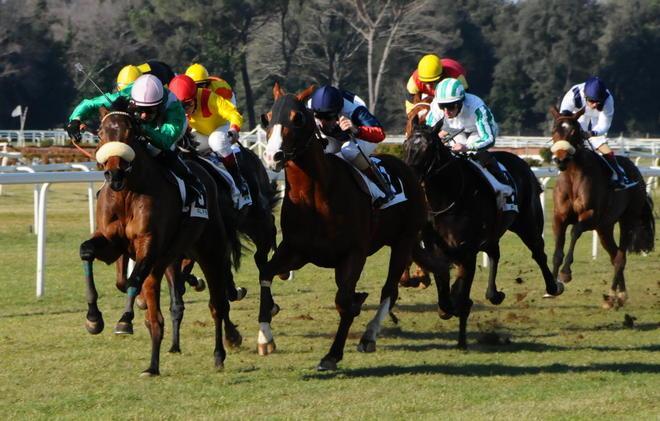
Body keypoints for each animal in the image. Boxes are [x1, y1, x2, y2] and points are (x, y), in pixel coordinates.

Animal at [79, 99, 235, 376]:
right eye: (101, 133)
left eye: (131, 134)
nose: (114, 175)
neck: (127, 193)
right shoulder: (110, 242)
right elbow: (87, 252)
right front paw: (93, 318)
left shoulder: (149, 245)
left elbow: (132, 281)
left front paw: (124, 320)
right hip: (164, 264)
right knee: (157, 319)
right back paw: (152, 365)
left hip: (210, 251)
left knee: (218, 305)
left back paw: (219, 352)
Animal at [258, 82, 427, 371]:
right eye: (268, 118)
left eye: (297, 118)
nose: (272, 156)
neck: (315, 196)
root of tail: (405, 167)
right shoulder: (295, 251)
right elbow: (266, 273)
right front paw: (265, 337)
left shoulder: (354, 254)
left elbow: (343, 302)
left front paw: (332, 355)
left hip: (403, 241)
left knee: (389, 289)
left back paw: (369, 335)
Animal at [403, 114, 564, 348]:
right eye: (406, 145)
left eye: (427, 147)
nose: (409, 179)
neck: (447, 198)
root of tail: (520, 161)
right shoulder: (438, 250)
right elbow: (445, 297)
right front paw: (451, 303)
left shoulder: (468, 251)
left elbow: (461, 295)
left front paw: (462, 333)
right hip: (492, 233)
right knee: (495, 253)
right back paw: (494, 294)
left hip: (528, 223)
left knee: (538, 253)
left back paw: (553, 286)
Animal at [549, 106, 655, 308]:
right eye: (554, 130)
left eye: (573, 132)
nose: (560, 160)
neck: (573, 177)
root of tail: (637, 173)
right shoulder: (559, 217)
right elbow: (557, 249)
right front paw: (552, 287)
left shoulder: (591, 216)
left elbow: (575, 231)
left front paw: (565, 273)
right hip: (605, 228)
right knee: (614, 255)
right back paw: (618, 295)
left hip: (627, 221)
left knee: (620, 257)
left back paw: (614, 295)